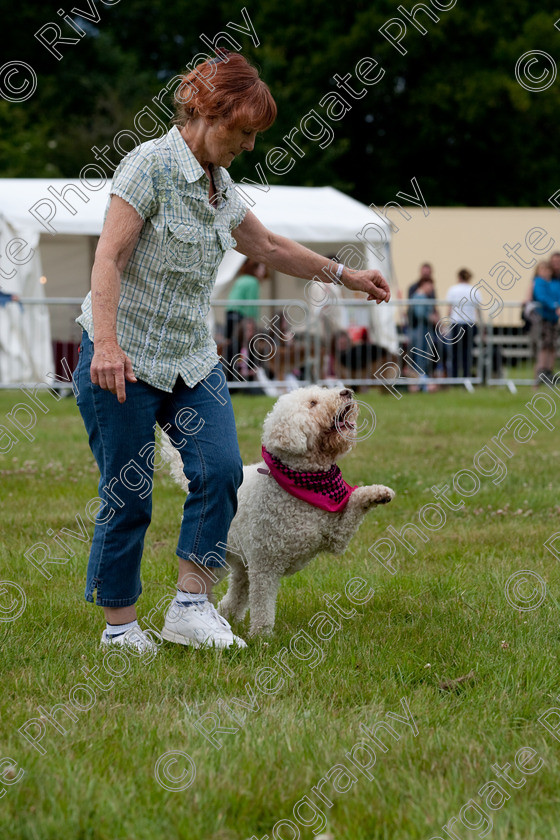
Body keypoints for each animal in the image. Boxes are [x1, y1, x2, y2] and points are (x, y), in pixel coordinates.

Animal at [164, 384, 396, 632]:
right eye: (313, 403)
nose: (347, 392)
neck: (302, 483)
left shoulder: (337, 536)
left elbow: (354, 502)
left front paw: (379, 493)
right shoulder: (266, 565)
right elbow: (263, 605)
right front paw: (262, 635)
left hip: (244, 562)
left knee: (235, 593)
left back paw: (228, 617)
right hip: (216, 558)